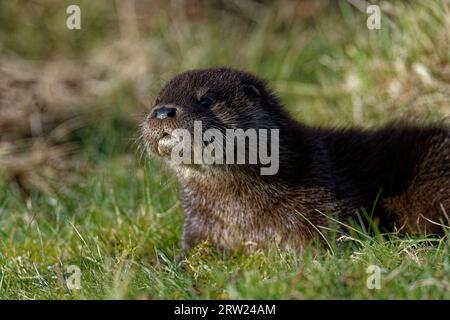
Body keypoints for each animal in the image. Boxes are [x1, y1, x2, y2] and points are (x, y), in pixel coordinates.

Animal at [141, 67, 450, 255]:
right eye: (156, 101)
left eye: (205, 99)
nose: (163, 112)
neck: (241, 213)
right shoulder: (198, 225)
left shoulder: (327, 205)